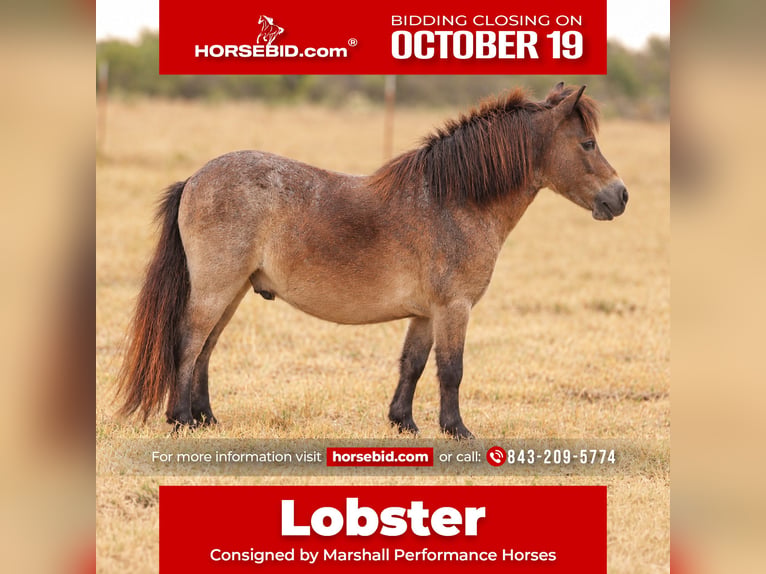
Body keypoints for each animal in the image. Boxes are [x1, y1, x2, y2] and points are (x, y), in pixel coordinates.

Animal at [115, 83, 628, 439]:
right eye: (587, 144)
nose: (620, 196)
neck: (454, 200)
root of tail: (194, 179)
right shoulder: (453, 309)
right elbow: (452, 370)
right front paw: (457, 430)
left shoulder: (426, 314)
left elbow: (413, 366)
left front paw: (404, 423)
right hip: (216, 288)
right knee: (188, 343)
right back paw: (181, 419)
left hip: (235, 290)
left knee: (206, 348)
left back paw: (206, 418)